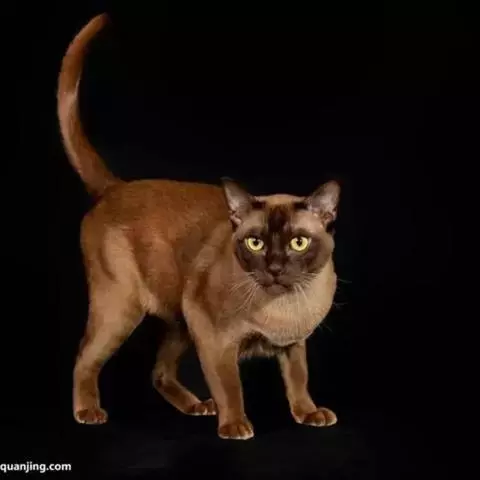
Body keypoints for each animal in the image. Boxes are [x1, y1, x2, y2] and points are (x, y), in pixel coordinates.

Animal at [58, 13, 341, 440]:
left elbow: (298, 380)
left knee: (158, 372)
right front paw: (236, 425)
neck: (282, 307)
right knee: (83, 358)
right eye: (256, 244)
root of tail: (116, 187)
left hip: (178, 320)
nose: (275, 268)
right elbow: (229, 384)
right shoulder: (213, 338)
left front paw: (309, 414)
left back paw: (195, 406)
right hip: (122, 309)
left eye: (298, 243)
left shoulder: (293, 343)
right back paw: (88, 411)